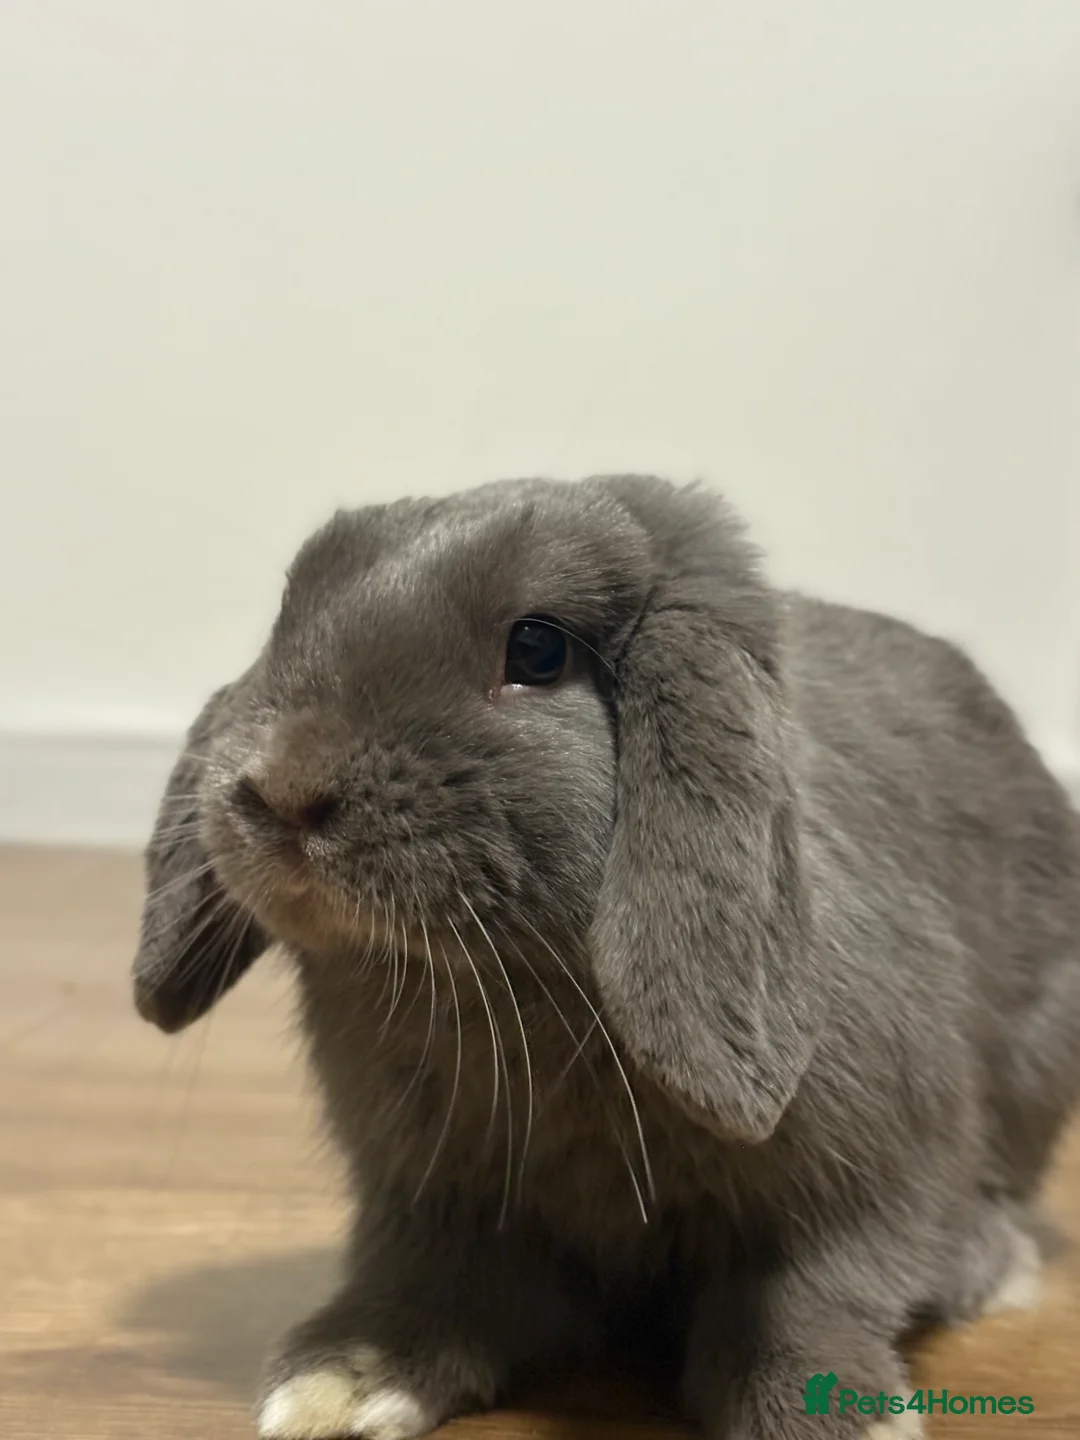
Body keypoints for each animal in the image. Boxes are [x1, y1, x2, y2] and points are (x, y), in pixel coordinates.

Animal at [132, 475, 1080, 1440]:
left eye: (538, 647)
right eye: (290, 614)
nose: (283, 790)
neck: (510, 983)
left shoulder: (868, 1175)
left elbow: (810, 1294)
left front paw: (836, 1415)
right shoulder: (433, 1196)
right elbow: (429, 1286)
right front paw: (343, 1384)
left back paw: (985, 1265)